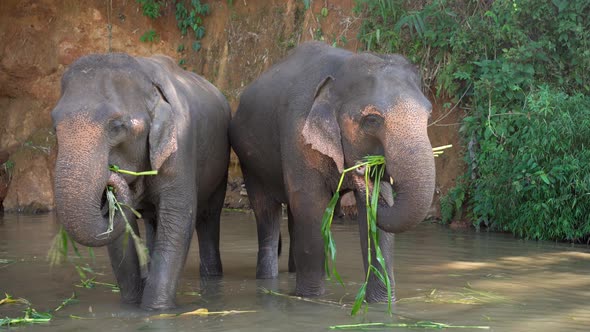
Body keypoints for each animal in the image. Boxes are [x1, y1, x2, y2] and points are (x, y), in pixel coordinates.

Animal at [52, 53, 231, 310]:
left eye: (117, 126)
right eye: (54, 128)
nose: (111, 175)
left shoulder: (181, 147)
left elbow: (177, 220)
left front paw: (155, 310)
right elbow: (118, 230)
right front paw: (130, 307)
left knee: (208, 217)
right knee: (154, 223)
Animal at [229, 41, 438, 300]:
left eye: (428, 115)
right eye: (372, 120)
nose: (360, 171)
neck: (339, 74)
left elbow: (376, 216)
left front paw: (381, 302)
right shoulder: (298, 136)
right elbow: (311, 207)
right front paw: (310, 299)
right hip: (250, 163)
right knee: (267, 214)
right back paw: (268, 280)